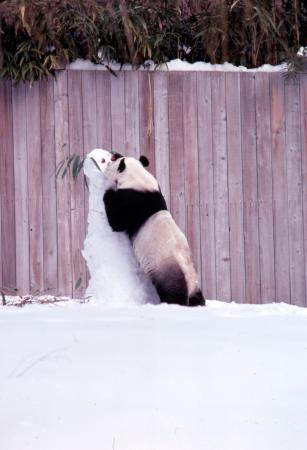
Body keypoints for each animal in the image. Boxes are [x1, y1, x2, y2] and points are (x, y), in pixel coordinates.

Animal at [103, 153, 205, 308]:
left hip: (171, 277)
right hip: (194, 281)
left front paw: (108, 192)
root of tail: (190, 285)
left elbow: (116, 223)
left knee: (174, 295)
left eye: (111, 163)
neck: (137, 176)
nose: (110, 159)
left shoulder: (131, 201)